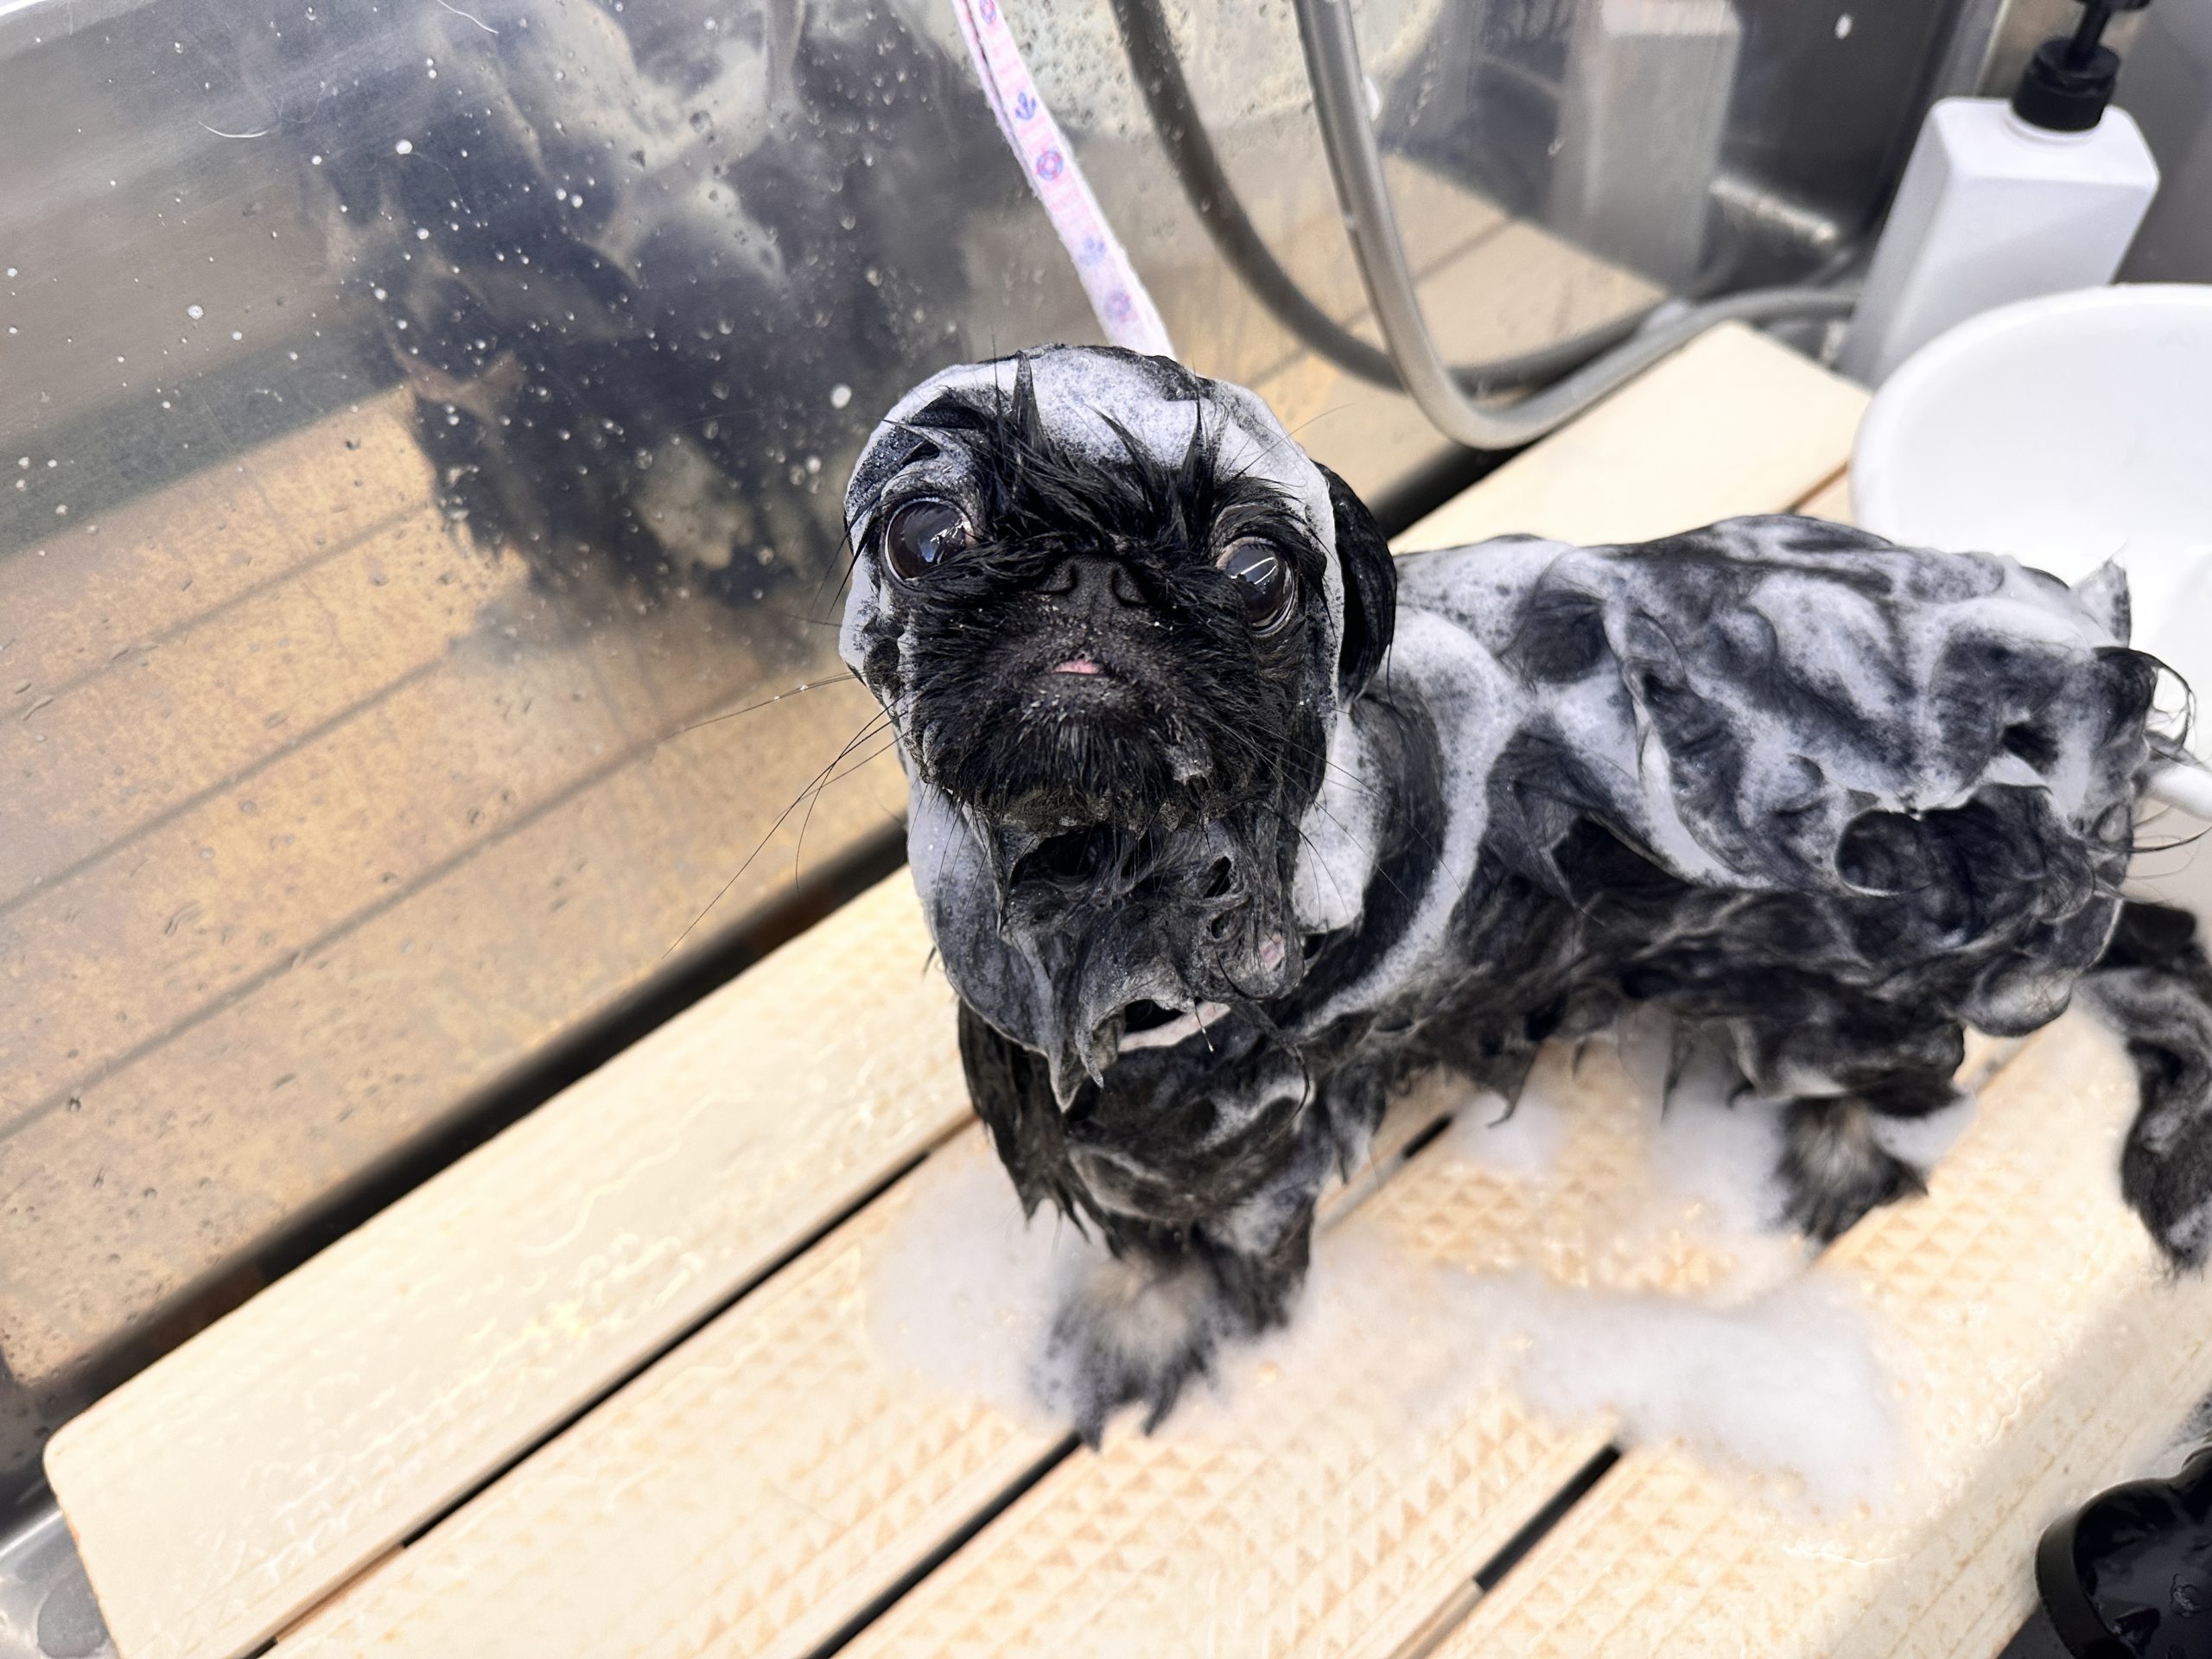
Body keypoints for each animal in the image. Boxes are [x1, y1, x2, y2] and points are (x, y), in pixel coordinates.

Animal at [841, 344, 2212, 1436]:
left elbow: (1192, 1258)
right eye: (926, 535)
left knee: (1913, 1071)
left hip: (1857, 980)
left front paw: (1142, 1331)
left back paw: (1835, 1158)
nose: (1090, 572)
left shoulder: (1233, 1150)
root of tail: (2079, 650)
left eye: (1252, 570)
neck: (1105, 882)